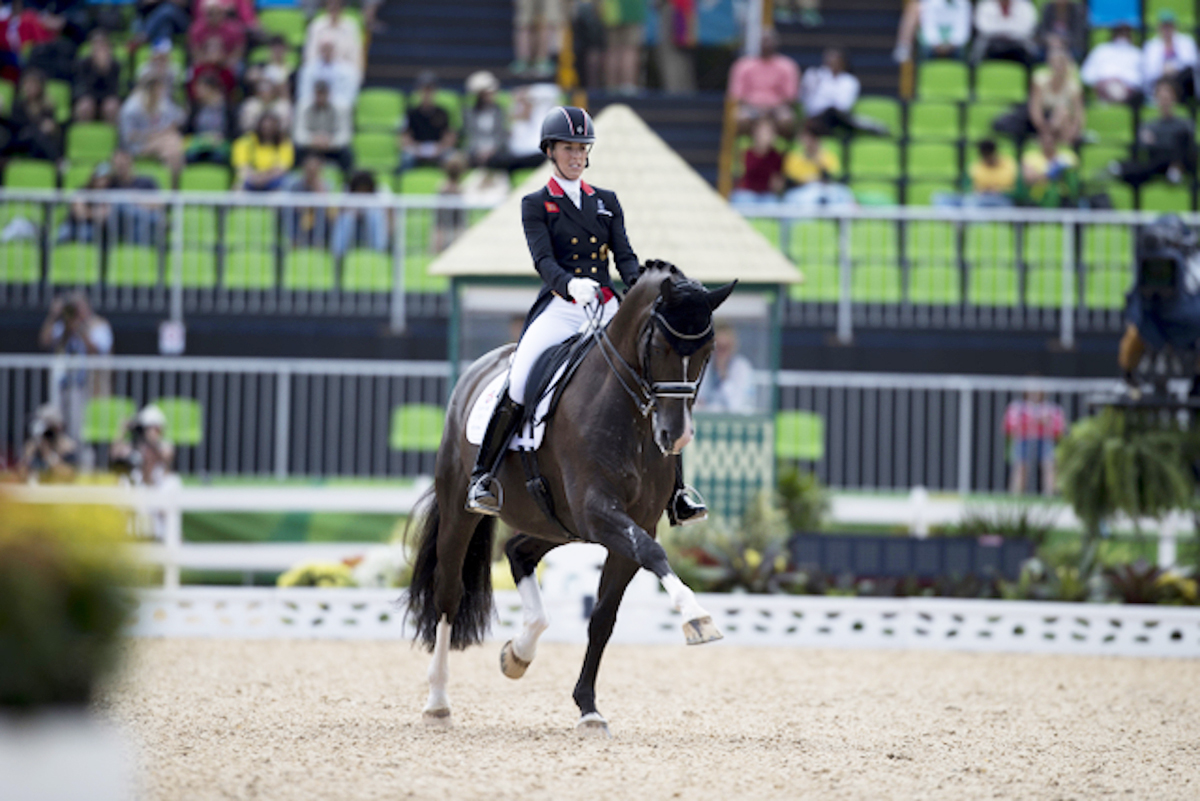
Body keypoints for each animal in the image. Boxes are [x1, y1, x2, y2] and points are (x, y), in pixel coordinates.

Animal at [405, 261, 736, 737]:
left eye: (707, 349)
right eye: (659, 346)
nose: (676, 436)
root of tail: (479, 368)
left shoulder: (628, 523)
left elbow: (603, 617)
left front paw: (589, 708)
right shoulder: (600, 512)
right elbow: (654, 554)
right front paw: (696, 616)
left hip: (557, 524)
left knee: (518, 551)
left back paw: (519, 652)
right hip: (460, 511)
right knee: (448, 593)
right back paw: (437, 701)